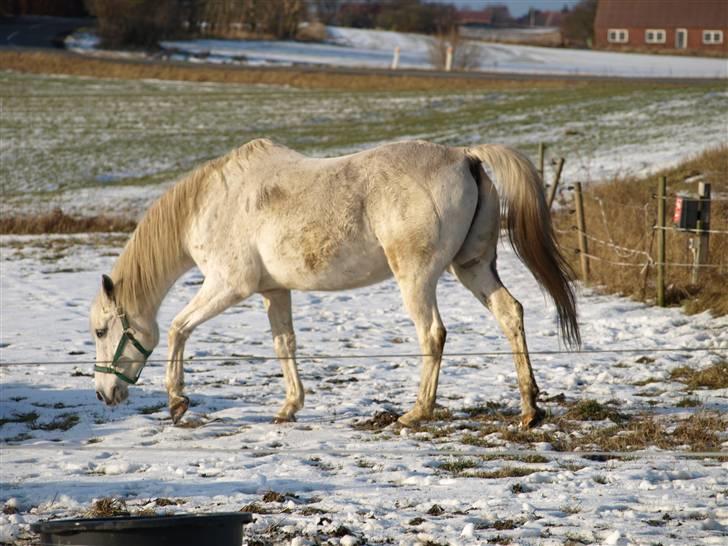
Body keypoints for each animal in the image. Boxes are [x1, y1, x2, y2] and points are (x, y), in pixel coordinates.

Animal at [91, 138, 580, 428]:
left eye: (100, 331)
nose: (104, 393)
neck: (213, 204)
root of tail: (465, 156)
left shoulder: (229, 286)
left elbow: (178, 329)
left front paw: (177, 401)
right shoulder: (274, 292)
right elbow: (284, 345)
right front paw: (289, 407)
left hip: (417, 278)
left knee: (433, 334)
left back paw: (415, 413)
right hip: (473, 267)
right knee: (510, 314)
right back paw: (530, 409)